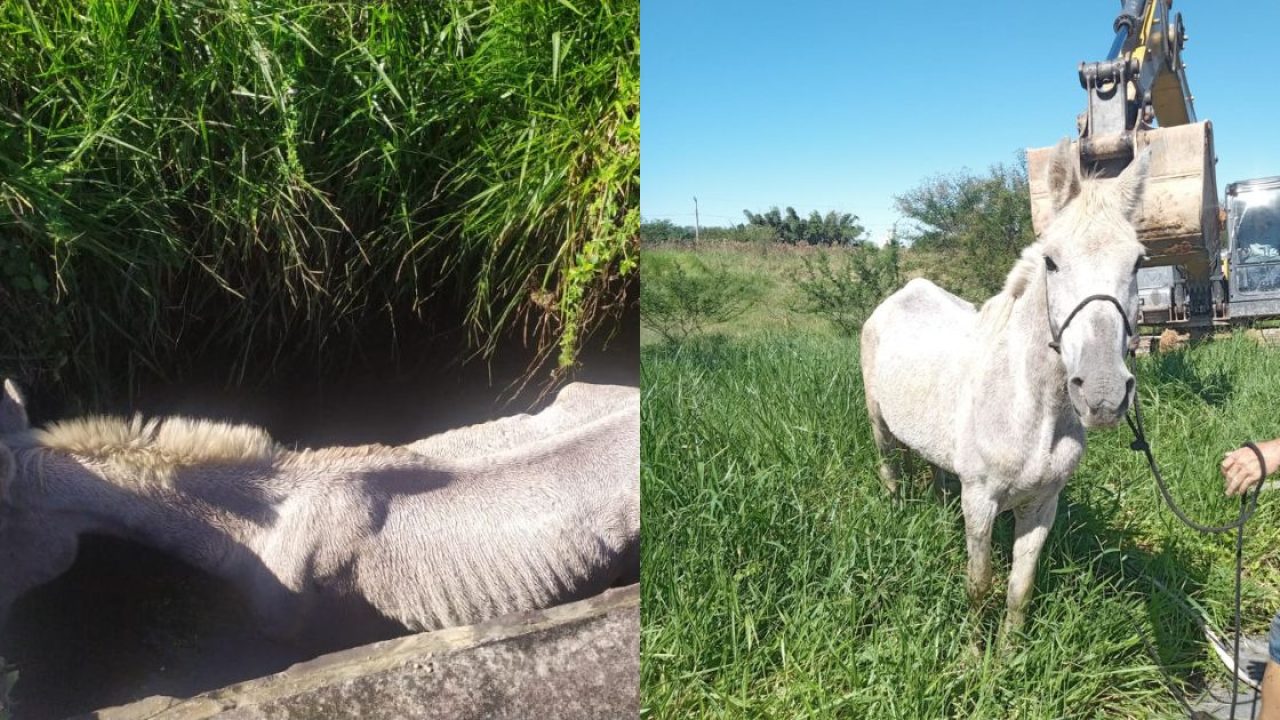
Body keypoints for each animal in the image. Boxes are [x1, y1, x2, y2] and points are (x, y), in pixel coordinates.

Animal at [860, 137, 1152, 625]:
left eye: (1137, 263)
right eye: (1051, 261)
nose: (1103, 395)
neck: (1029, 407)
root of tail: (899, 296)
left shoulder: (1042, 506)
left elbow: (1020, 589)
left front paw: (1010, 644)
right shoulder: (980, 504)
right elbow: (979, 587)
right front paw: (976, 647)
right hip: (879, 424)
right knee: (889, 469)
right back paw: (895, 510)